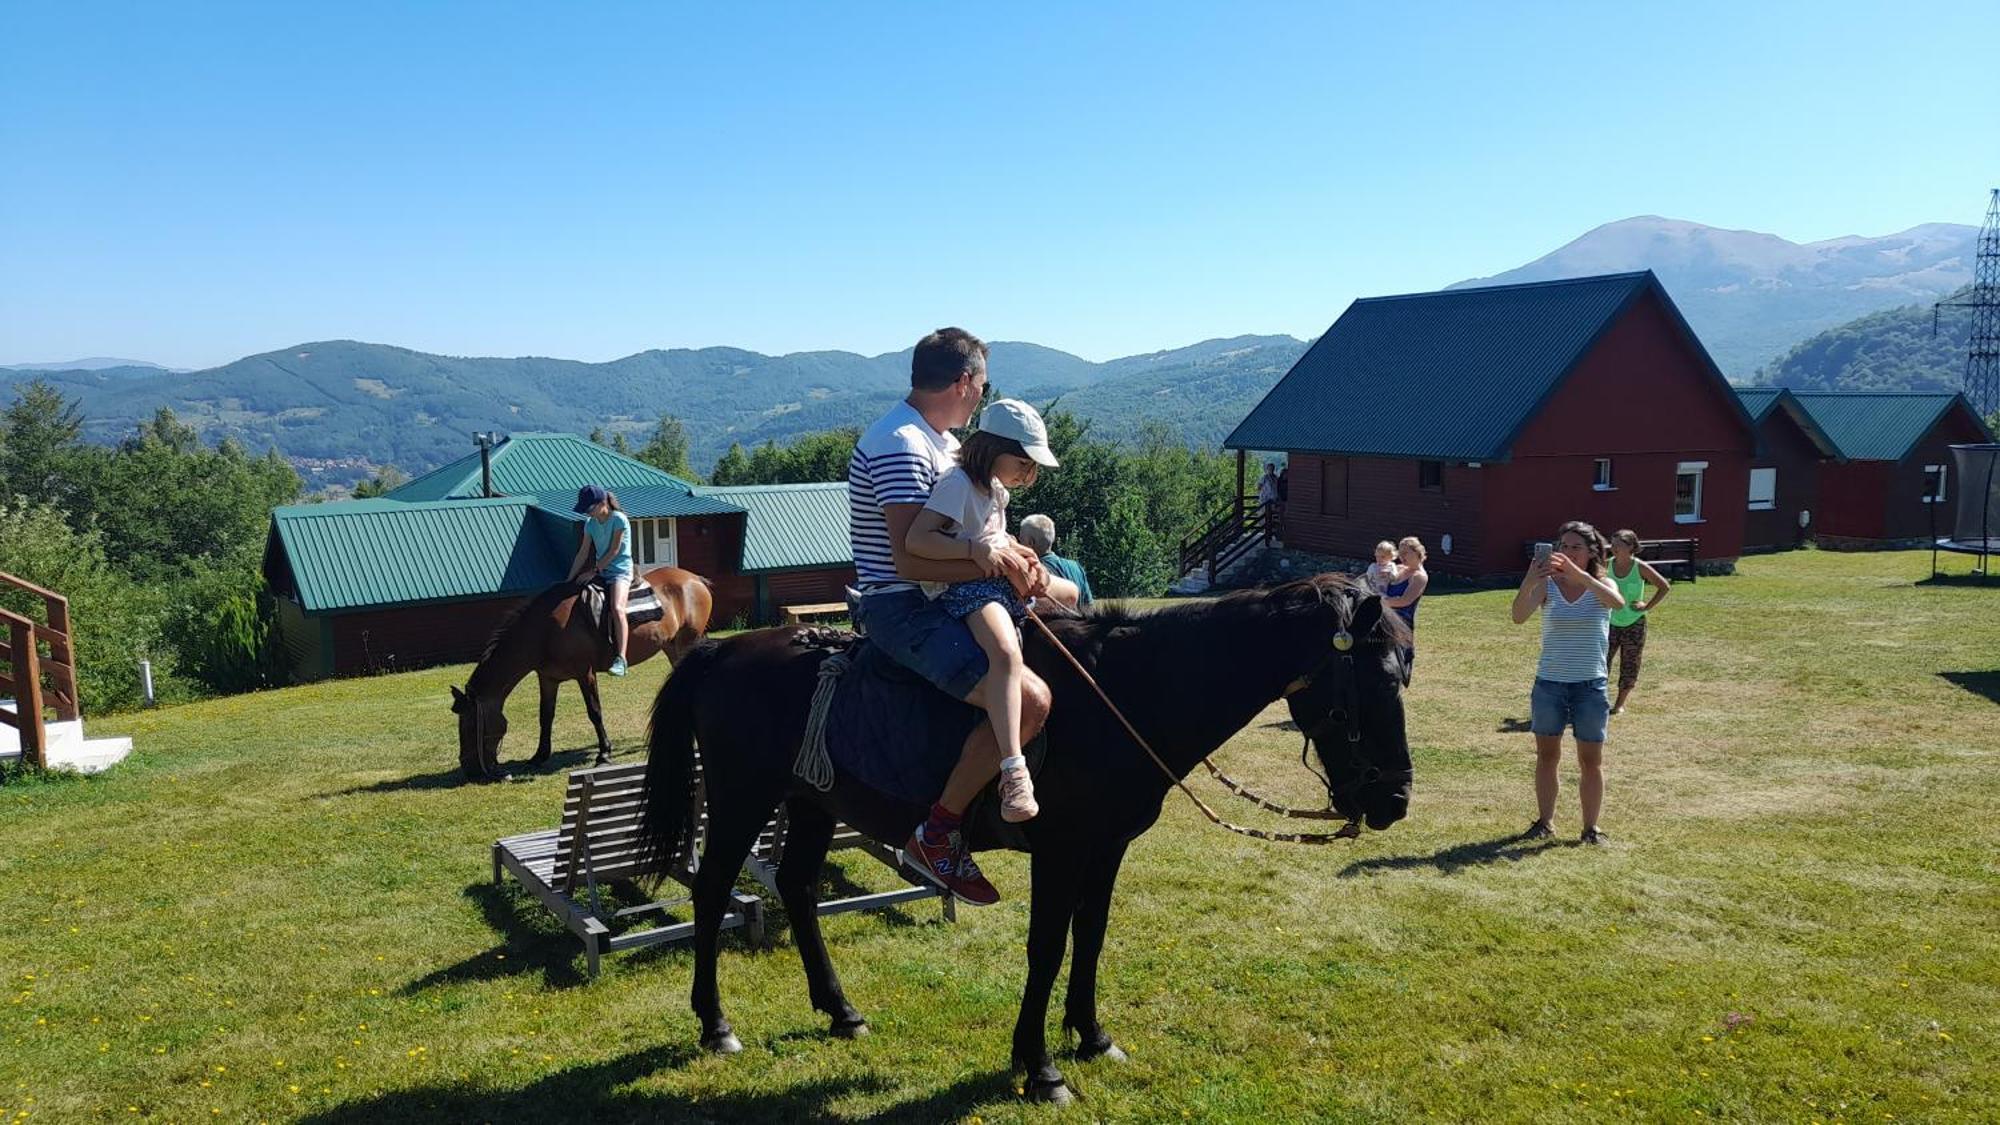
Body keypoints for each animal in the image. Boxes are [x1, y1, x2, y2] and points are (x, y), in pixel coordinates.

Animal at [452, 564, 712, 776]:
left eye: (469, 725)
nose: (468, 768)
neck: (545, 631)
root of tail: (694, 579)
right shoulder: (548, 678)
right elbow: (545, 716)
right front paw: (539, 755)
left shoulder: (584, 673)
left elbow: (594, 712)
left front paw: (604, 754)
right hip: (672, 647)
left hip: (687, 640)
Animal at [636, 572, 1408, 1096]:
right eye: (1371, 684)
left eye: (1403, 676)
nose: (1396, 798)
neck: (1125, 694)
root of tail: (719, 654)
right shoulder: (1060, 852)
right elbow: (1047, 948)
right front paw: (1040, 1068)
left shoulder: (1107, 848)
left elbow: (1090, 939)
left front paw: (1092, 1037)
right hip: (743, 800)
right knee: (712, 893)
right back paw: (715, 1024)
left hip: (812, 802)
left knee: (797, 888)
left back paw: (841, 1010)